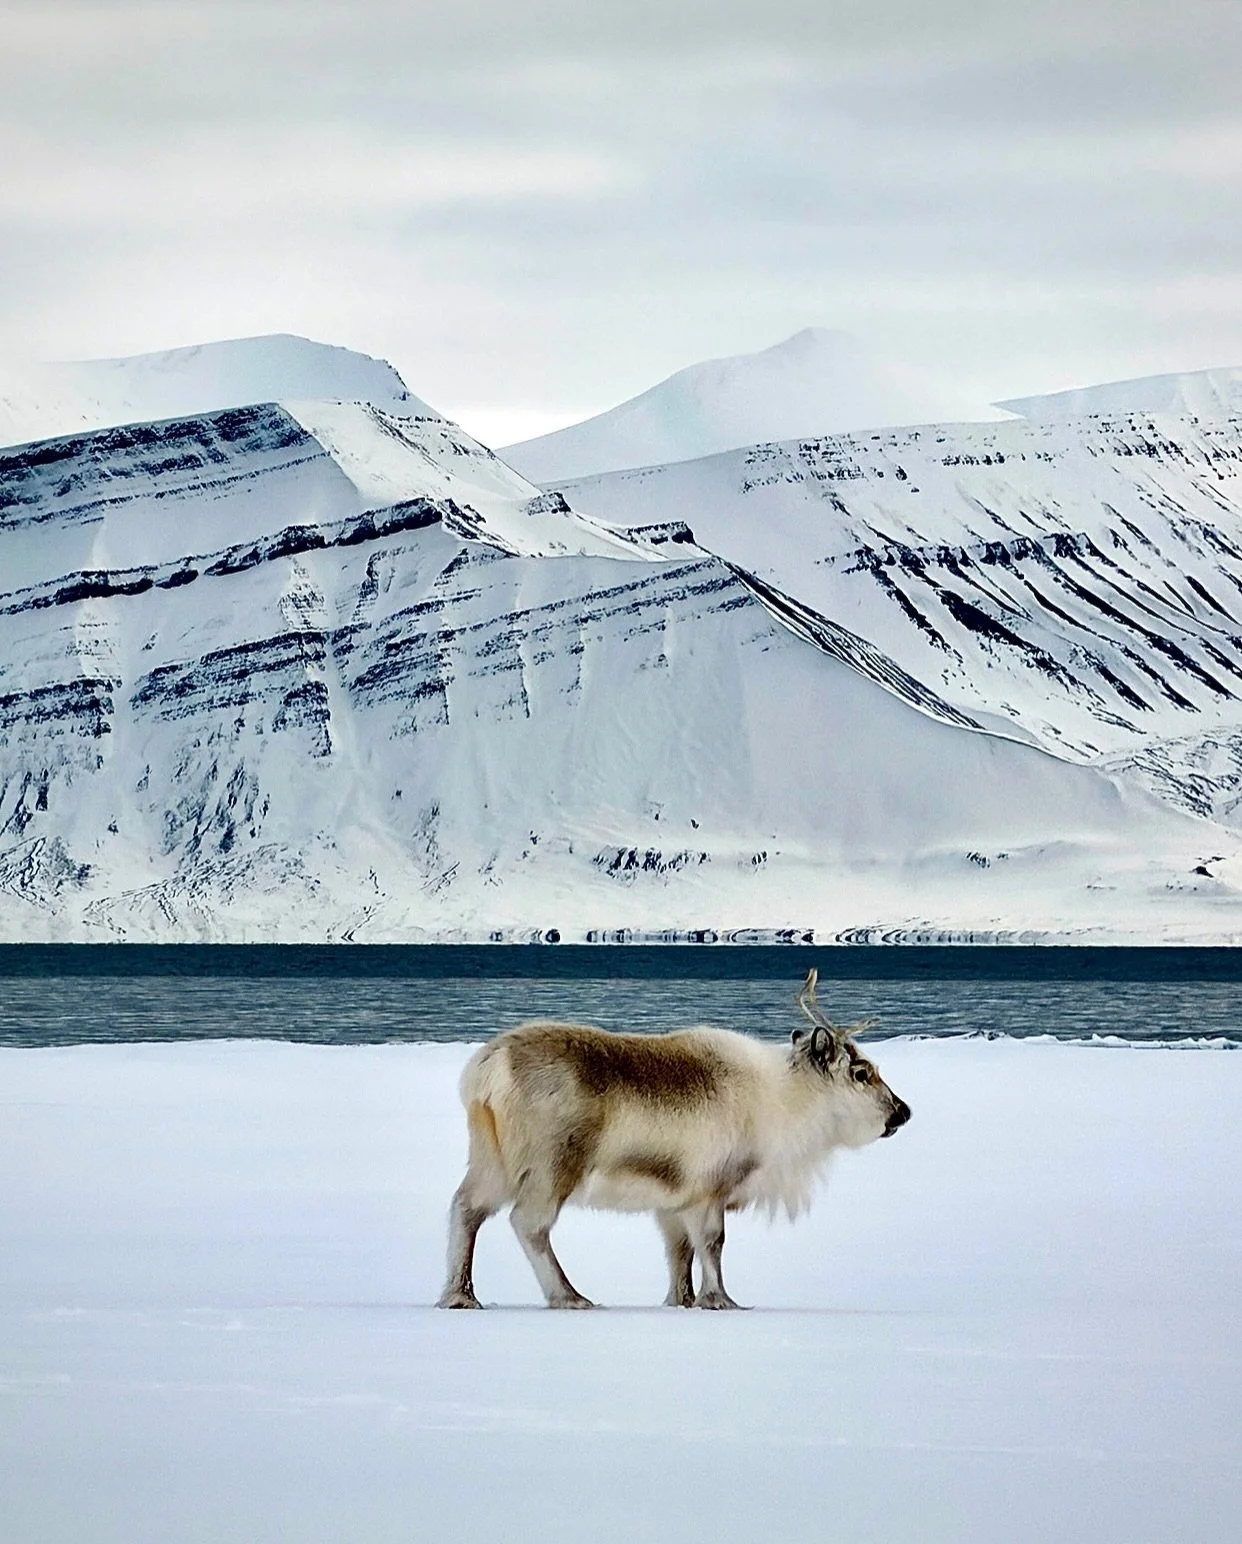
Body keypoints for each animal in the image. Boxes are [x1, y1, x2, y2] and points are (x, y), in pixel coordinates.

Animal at [437, 968, 910, 1310]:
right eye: (862, 1072)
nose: (902, 1112)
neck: (784, 1103)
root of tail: (486, 1071)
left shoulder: (672, 1201)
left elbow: (679, 1253)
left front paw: (681, 1301)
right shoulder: (710, 1189)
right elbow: (712, 1246)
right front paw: (720, 1301)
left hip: (491, 1157)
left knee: (466, 1208)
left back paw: (460, 1297)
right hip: (551, 1165)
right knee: (528, 1223)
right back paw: (569, 1297)